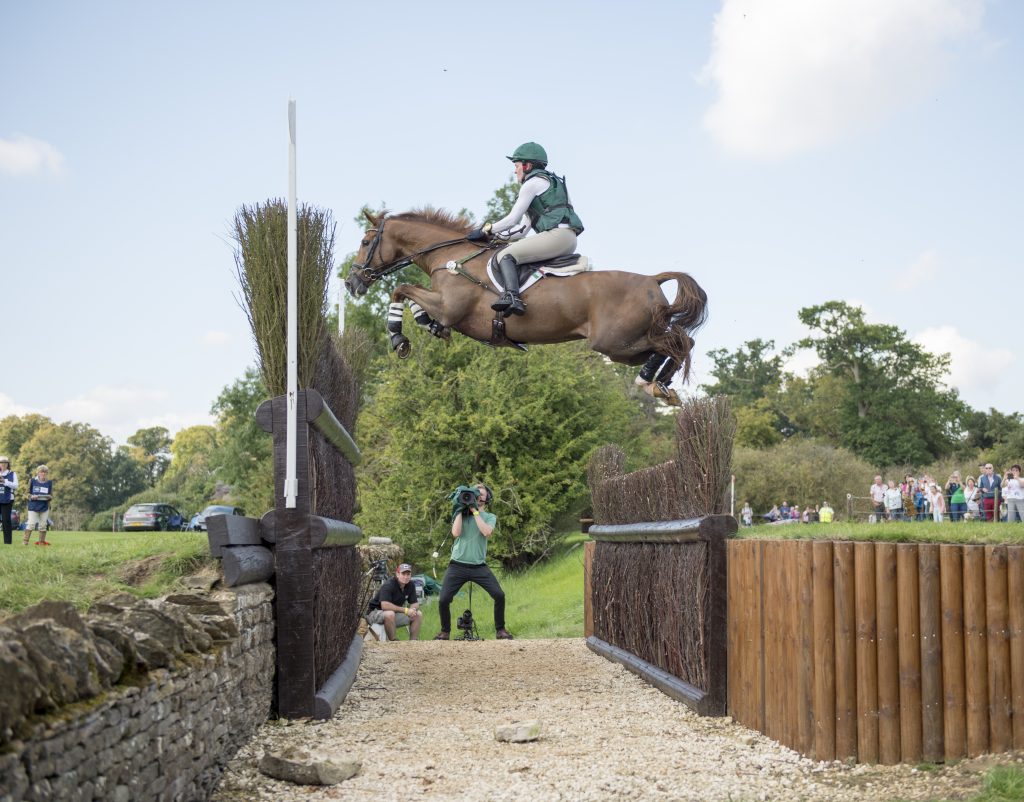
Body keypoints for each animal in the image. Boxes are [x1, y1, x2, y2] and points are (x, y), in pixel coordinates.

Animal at [344, 209, 704, 401]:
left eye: (365, 241)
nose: (351, 283)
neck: (448, 257)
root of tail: (652, 280)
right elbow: (407, 295)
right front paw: (427, 326)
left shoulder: (449, 306)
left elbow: (401, 289)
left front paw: (399, 338)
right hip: (627, 345)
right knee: (680, 341)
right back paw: (660, 384)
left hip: (616, 343)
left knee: (677, 342)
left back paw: (651, 382)